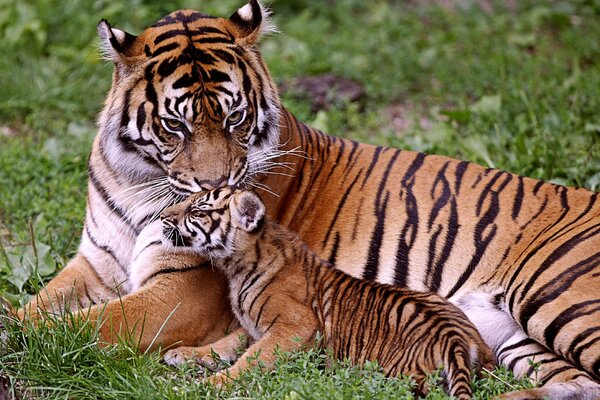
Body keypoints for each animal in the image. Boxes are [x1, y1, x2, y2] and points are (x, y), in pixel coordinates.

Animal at [16, 1, 596, 398]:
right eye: (176, 125)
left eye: (234, 117)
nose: (215, 186)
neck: (136, 181)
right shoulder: (94, 263)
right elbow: (38, 305)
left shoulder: (184, 289)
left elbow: (88, 322)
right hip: (516, 336)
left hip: (559, 299)